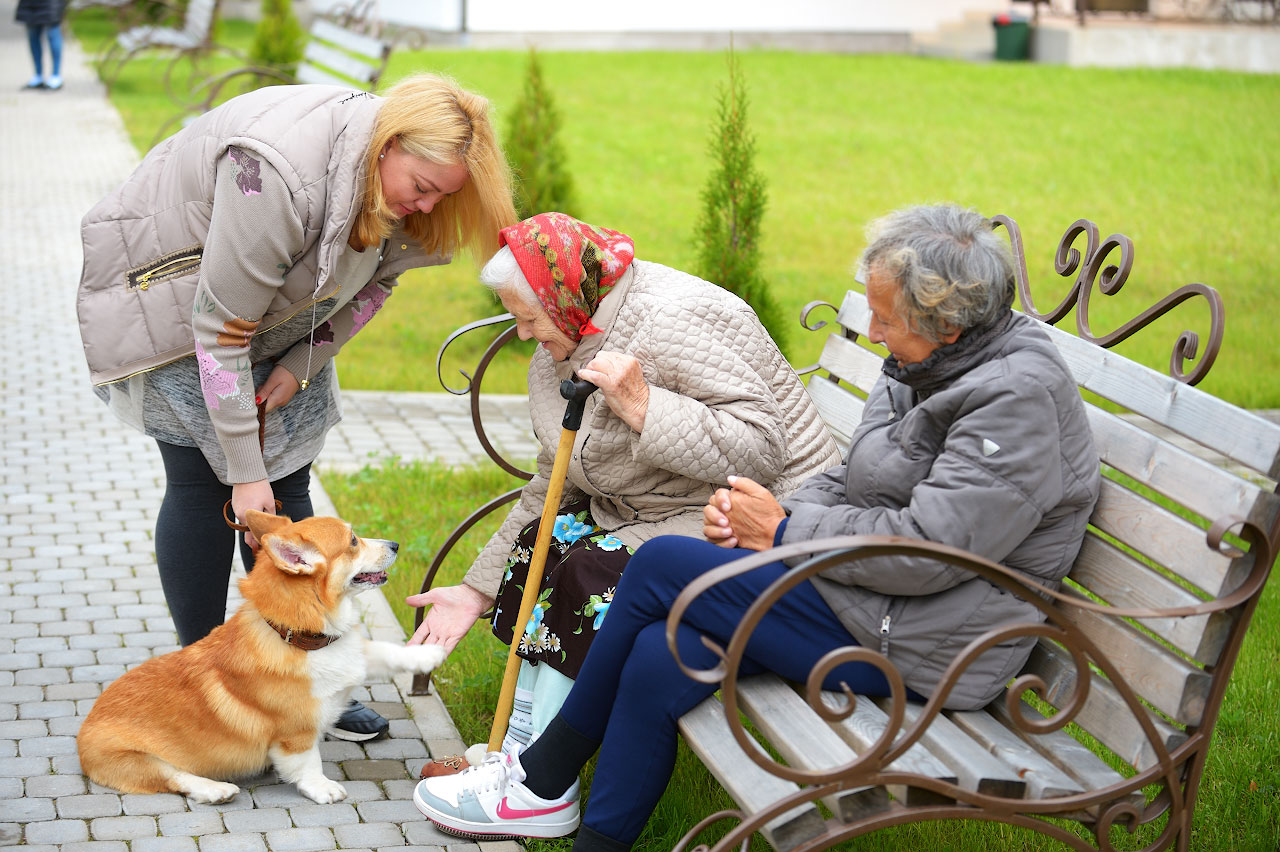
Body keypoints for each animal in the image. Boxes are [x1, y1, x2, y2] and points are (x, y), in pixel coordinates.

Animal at [80, 511, 448, 803]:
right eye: (353, 541)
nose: (396, 544)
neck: (299, 639)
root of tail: (84, 728)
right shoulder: (296, 732)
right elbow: (308, 762)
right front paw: (323, 788)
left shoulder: (352, 654)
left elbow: (387, 651)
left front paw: (429, 653)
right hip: (137, 760)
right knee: (174, 778)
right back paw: (215, 790)